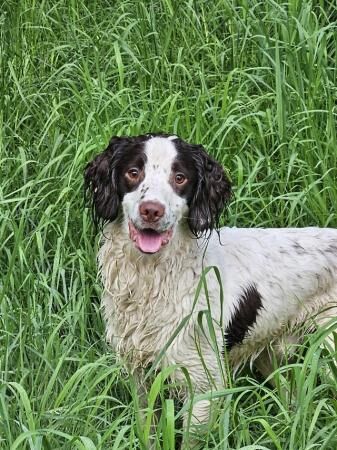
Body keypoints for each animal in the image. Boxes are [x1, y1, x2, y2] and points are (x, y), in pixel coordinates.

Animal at [84, 133, 336, 436]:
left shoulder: (203, 384)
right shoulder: (138, 374)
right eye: (133, 172)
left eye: (180, 177)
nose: (151, 210)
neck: (154, 276)